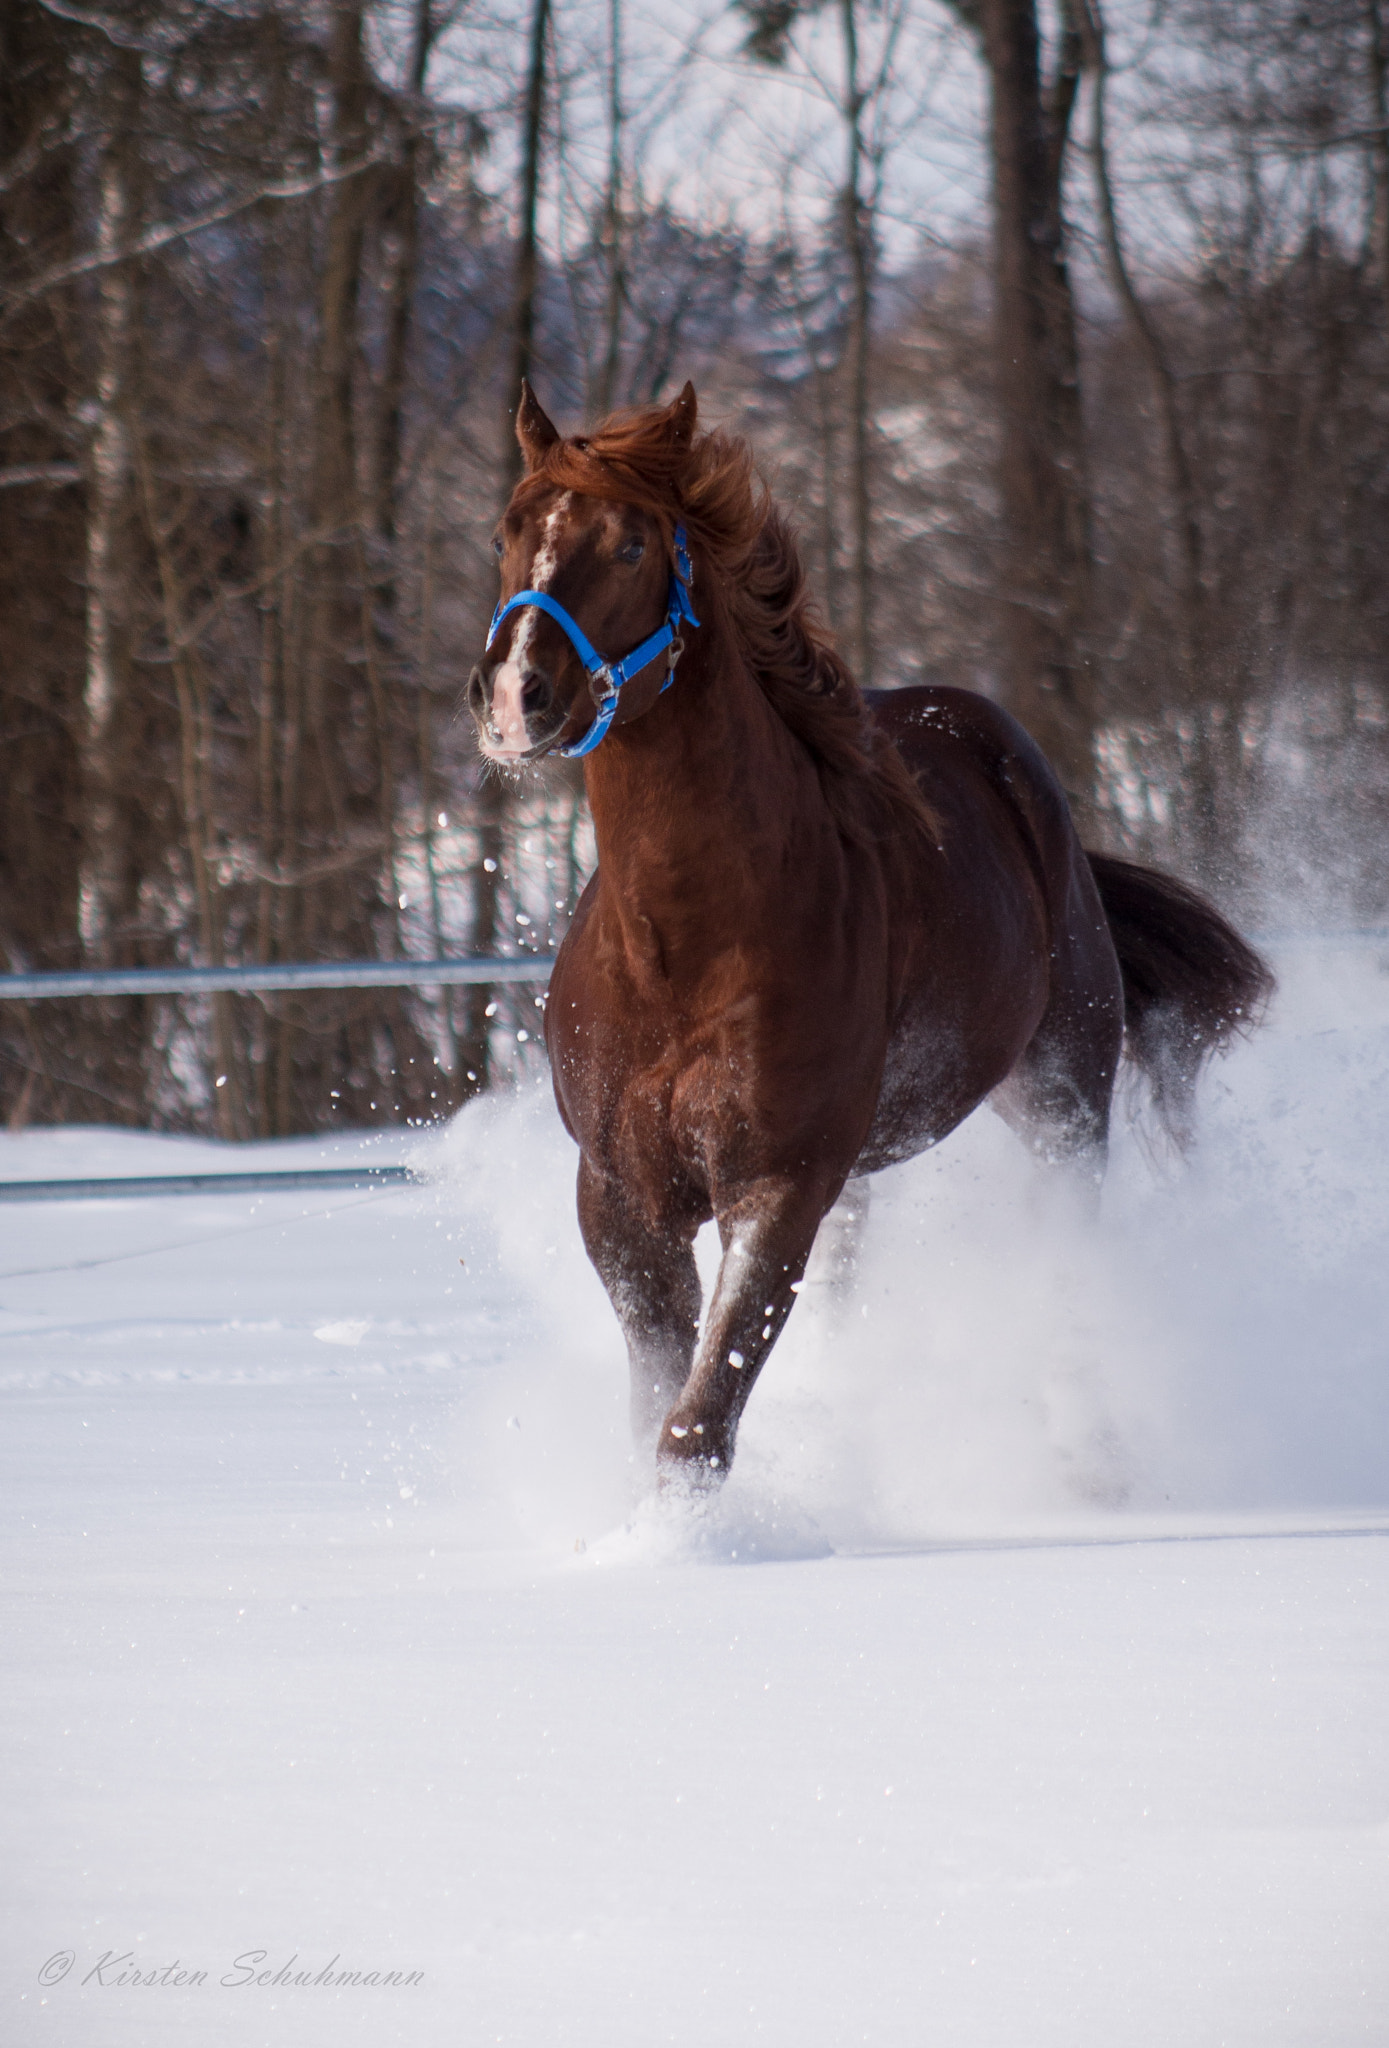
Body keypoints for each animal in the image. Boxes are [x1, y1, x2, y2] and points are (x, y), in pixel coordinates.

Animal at [465, 376, 1270, 1482]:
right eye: (507, 530)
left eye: (631, 544)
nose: (513, 698)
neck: (682, 951)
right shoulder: (622, 1200)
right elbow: (657, 1403)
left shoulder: (776, 1186)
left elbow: (695, 1425)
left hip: (1060, 1100)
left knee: (1068, 1271)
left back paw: (1088, 1461)